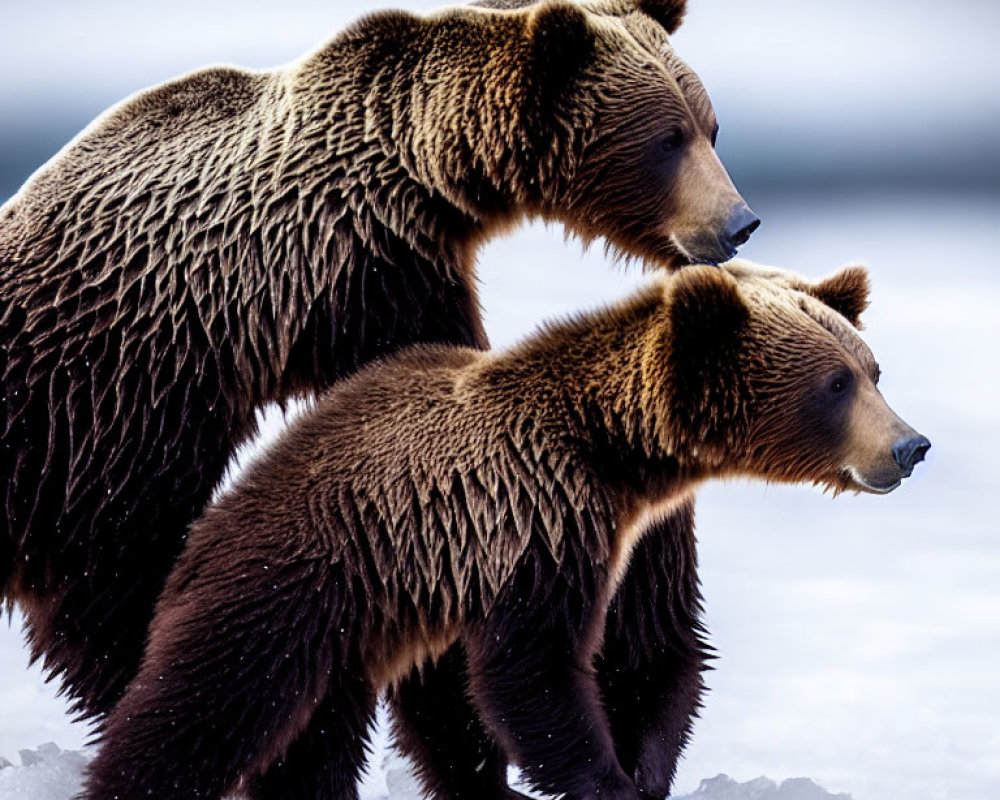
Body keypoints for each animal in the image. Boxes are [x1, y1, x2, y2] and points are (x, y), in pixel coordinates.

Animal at [0, 0, 752, 792]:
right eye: (666, 139)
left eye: (711, 127)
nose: (738, 224)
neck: (426, 177)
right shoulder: (359, 277)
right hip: (86, 435)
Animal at [80, 264, 928, 800]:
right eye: (835, 383)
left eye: (873, 368)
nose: (910, 446)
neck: (616, 452)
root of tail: (201, 537)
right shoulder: (538, 518)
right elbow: (532, 670)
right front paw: (604, 781)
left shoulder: (645, 536)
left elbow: (654, 650)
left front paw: (646, 771)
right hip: (286, 590)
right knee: (202, 712)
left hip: (360, 629)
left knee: (331, 735)